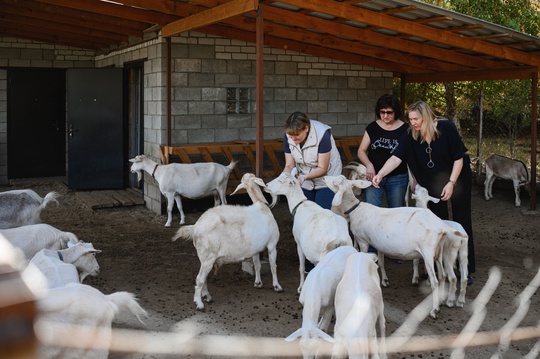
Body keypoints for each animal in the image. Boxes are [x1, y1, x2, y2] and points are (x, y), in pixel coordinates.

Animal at [172, 173, 282, 310]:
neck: (261, 205)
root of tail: (196, 227)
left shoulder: (255, 249)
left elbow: (257, 265)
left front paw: (258, 283)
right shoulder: (272, 245)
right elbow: (273, 266)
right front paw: (277, 286)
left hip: (203, 256)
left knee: (204, 278)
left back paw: (207, 296)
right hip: (209, 255)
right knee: (199, 279)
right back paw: (199, 303)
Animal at [322, 176, 466, 320]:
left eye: (336, 182)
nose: (323, 178)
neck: (356, 208)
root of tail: (442, 226)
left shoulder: (362, 240)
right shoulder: (379, 244)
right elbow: (381, 262)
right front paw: (384, 281)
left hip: (428, 252)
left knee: (435, 281)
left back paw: (434, 310)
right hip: (438, 251)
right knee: (442, 276)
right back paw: (440, 302)